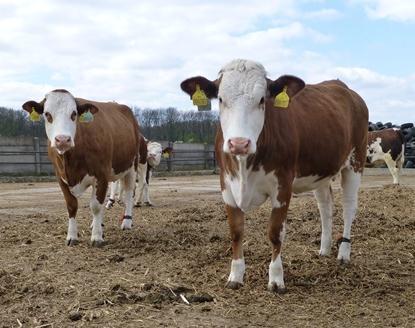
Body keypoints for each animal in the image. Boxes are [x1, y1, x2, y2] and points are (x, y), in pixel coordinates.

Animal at [22, 89, 143, 246]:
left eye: (74, 114)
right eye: (47, 114)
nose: (63, 140)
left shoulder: (101, 174)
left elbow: (96, 206)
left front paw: (97, 237)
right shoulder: (60, 177)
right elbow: (72, 205)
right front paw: (72, 236)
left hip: (132, 165)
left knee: (129, 192)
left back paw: (126, 222)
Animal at [180, 58, 368, 292]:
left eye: (262, 99)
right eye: (221, 99)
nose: (239, 143)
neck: (244, 167)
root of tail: (345, 89)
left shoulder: (283, 185)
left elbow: (275, 233)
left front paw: (276, 279)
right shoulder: (226, 183)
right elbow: (236, 231)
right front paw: (236, 275)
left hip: (356, 160)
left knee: (349, 207)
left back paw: (343, 253)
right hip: (321, 170)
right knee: (325, 206)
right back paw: (324, 249)